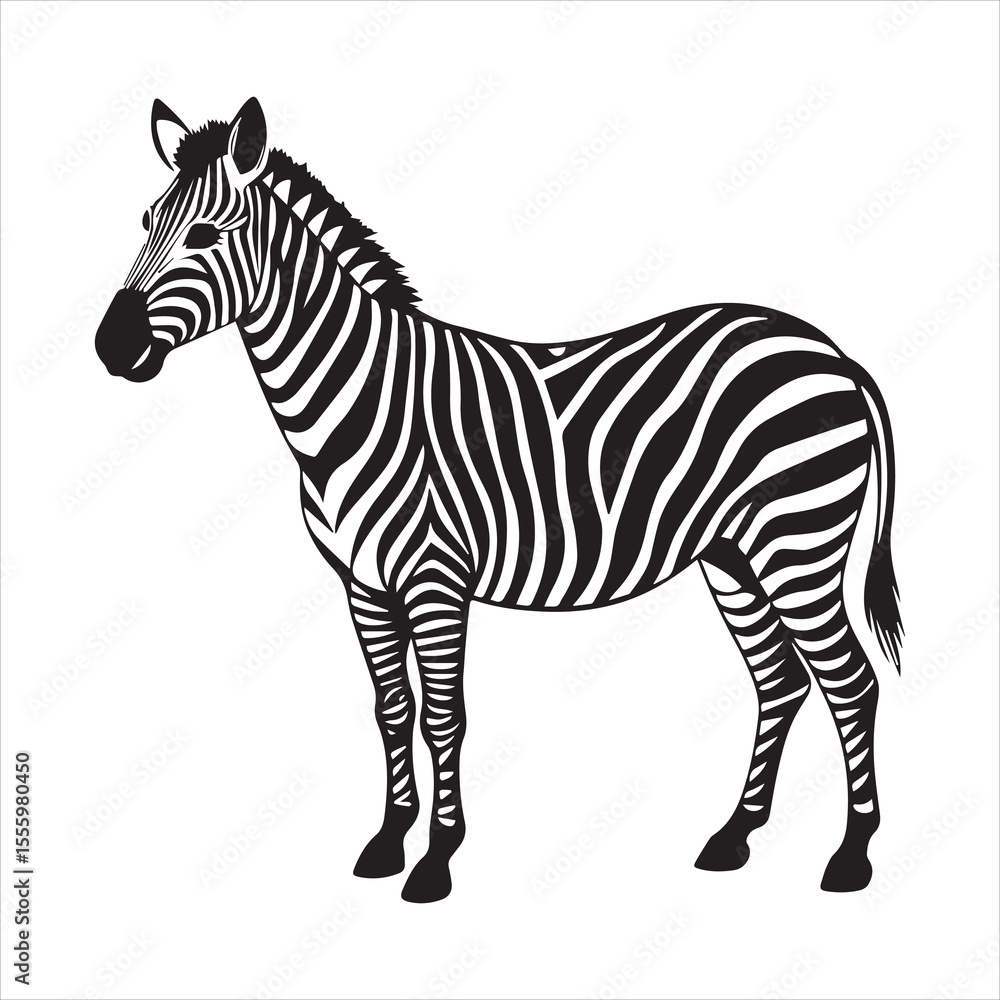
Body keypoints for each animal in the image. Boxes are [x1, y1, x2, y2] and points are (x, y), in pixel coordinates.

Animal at [96, 98, 902, 903]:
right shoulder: (363, 585)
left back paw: (853, 855)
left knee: (851, 682)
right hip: (733, 555)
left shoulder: (435, 577)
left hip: (798, 543)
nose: (110, 346)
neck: (356, 403)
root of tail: (831, 352)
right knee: (780, 681)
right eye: (143, 220)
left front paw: (435, 861)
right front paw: (388, 841)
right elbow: (393, 711)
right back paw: (735, 835)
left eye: (206, 235)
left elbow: (443, 716)